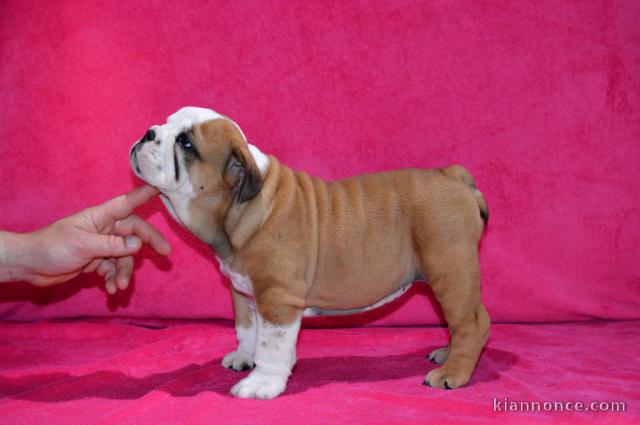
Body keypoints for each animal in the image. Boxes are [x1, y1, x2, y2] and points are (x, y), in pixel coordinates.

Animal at [130, 106, 490, 398]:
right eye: (166, 124)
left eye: (186, 143)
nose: (149, 132)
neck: (241, 209)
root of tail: (453, 176)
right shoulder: (244, 293)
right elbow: (248, 330)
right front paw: (244, 358)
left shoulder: (278, 298)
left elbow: (270, 346)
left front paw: (261, 383)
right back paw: (446, 354)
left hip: (450, 271)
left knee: (472, 323)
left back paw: (451, 373)